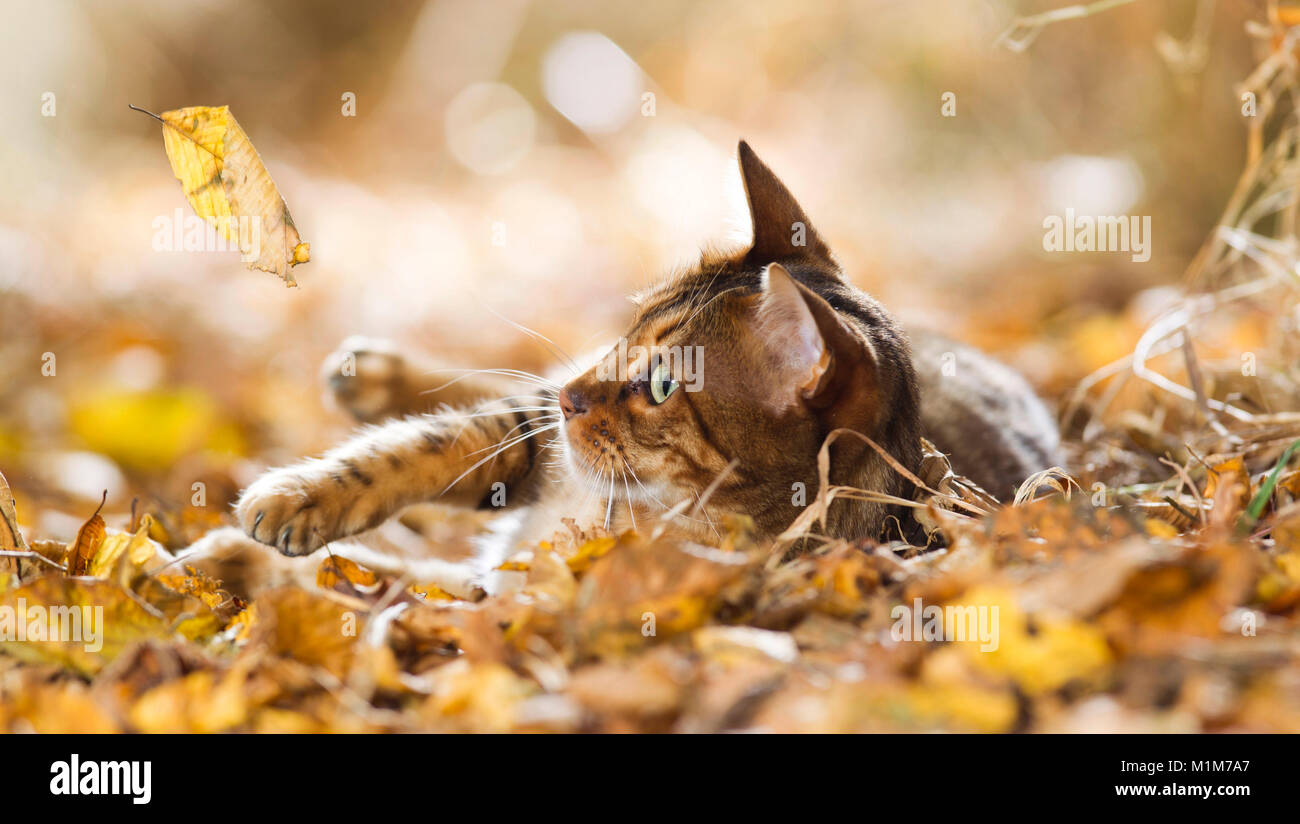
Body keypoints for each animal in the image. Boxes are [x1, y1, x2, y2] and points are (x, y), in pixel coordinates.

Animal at [228, 142, 1060, 590]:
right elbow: (423, 446)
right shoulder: (534, 443)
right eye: (630, 325)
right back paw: (370, 373)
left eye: (663, 383)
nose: (576, 395)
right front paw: (298, 497)